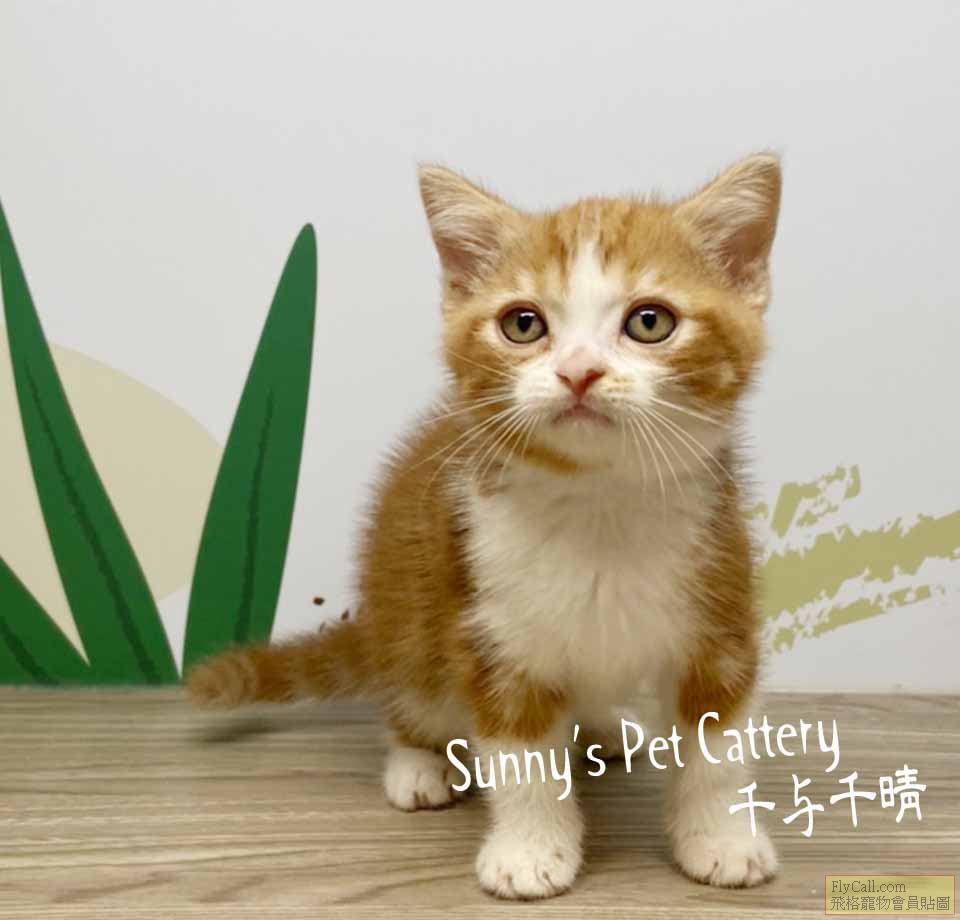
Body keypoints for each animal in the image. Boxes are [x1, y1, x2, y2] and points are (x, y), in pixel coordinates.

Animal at [188, 153, 782, 899]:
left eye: (651, 321)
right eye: (522, 324)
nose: (579, 372)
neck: (599, 502)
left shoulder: (720, 603)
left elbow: (719, 747)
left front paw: (721, 838)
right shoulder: (488, 623)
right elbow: (522, 758)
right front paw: (530, 851)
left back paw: (601, 729)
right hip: (411, 613)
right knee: (414, 697)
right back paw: (419, 764)